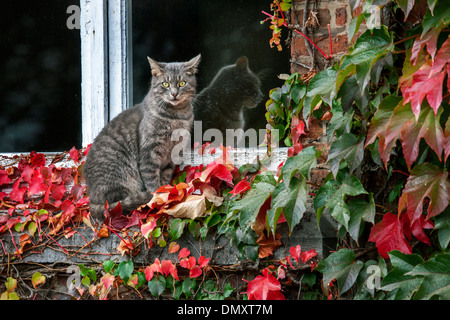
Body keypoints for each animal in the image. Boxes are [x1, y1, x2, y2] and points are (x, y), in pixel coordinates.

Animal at [84, 55, 200, 220]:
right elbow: (152, 182)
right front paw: (159, 198)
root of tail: (91, 198)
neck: (177, 117)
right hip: (122, 178)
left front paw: (167, 193)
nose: (174, 94)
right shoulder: (149, 154)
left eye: (182, 83)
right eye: (165, 84)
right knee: (117, 205)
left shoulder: (171, 157)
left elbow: (165, 178)